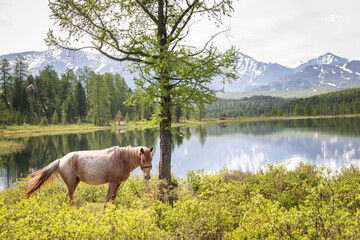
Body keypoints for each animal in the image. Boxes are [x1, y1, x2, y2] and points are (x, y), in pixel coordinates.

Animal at [25, 145, 153, 203]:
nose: (147, 177)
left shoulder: (118, 183)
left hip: (75, 182)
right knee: (70, 197)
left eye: (151, 159)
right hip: (71, 184)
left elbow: (113, 198)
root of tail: (61, 160)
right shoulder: (112, 182)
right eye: (143, 160)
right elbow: (107, 198)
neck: (122, 159)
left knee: (67, 196)